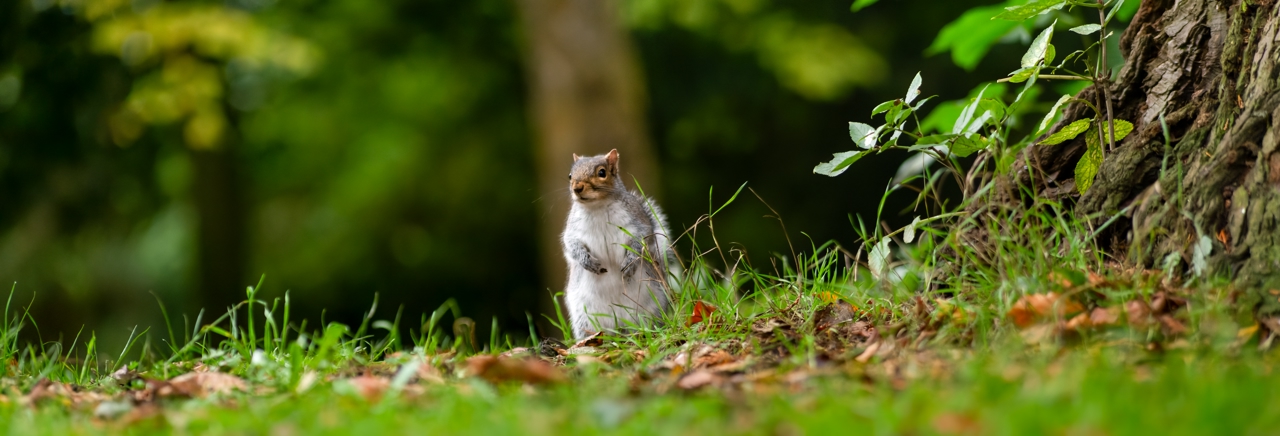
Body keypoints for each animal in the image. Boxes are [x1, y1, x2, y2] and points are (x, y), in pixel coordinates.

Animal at [560, 147, 680, 337]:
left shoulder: (638, 223)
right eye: (570, 175)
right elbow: (571, 244)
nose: (577, 188)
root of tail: (619, 328)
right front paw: (586, 261)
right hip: (583, 316)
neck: (597, 206)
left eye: (602, 172)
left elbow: (642, 241)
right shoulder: (573, 229)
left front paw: (629, 263)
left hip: (653, 306)